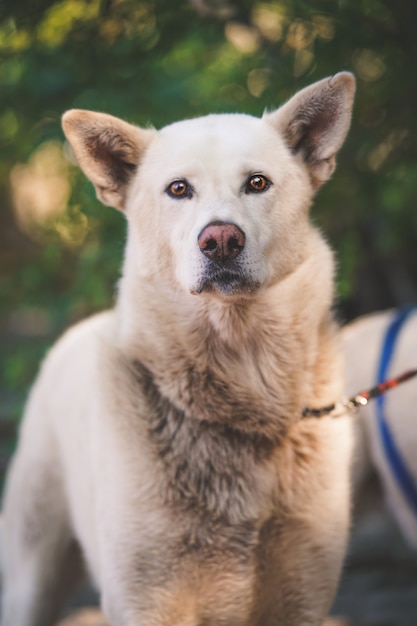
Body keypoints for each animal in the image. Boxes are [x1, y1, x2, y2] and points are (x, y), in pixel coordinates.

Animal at [1, 74, 354, 624]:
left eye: (257, 183)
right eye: (178, 189)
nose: (221, 240)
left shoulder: (302, 594)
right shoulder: (146, 599)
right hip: (31, 575)